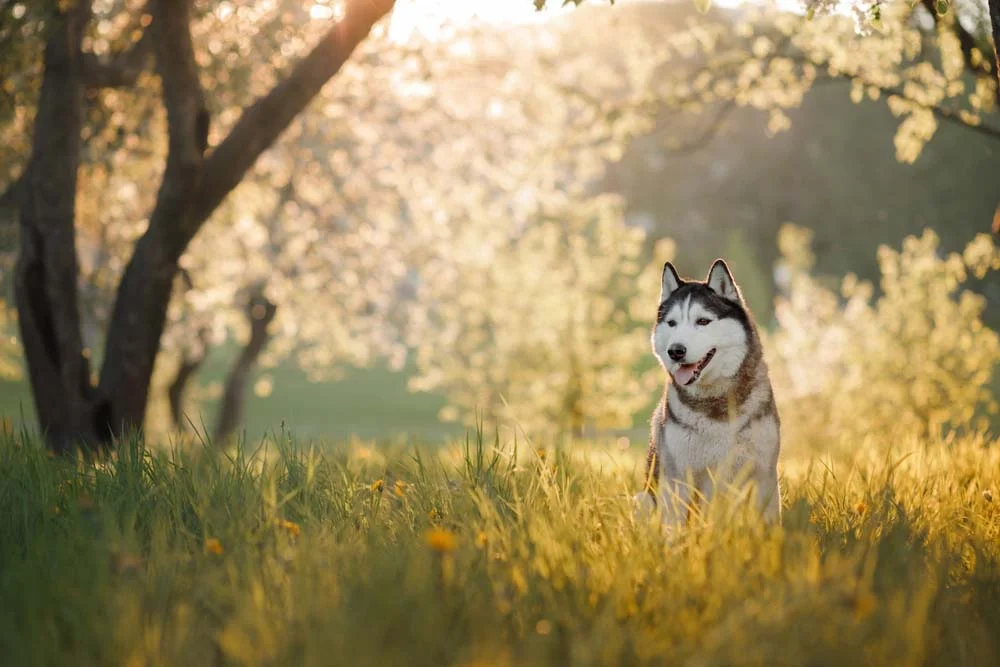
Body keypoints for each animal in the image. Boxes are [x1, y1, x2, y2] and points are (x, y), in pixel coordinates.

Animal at [632, 260, 780, 528]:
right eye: (672, 323)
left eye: (702, 321)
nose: (675, 351)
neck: (715, 401)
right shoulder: (678, 479)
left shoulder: (764, 474)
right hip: (643, 499)